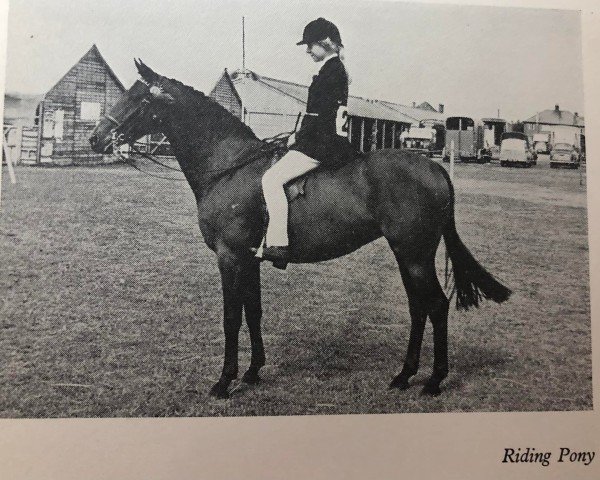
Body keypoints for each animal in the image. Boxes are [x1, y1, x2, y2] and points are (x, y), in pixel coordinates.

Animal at [90, 60, 510, 398]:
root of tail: (434, 167)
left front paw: (224, 382)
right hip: (407, 254)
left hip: (415, 254)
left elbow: (231, 318)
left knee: (436, 306)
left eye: (139, 98)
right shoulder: (249, 259)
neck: (229, 166)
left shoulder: (230, 257)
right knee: (418, 307)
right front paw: (253, 372)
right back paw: (404, 376)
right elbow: (253, 311)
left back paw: (434, 381)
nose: (96, 138)